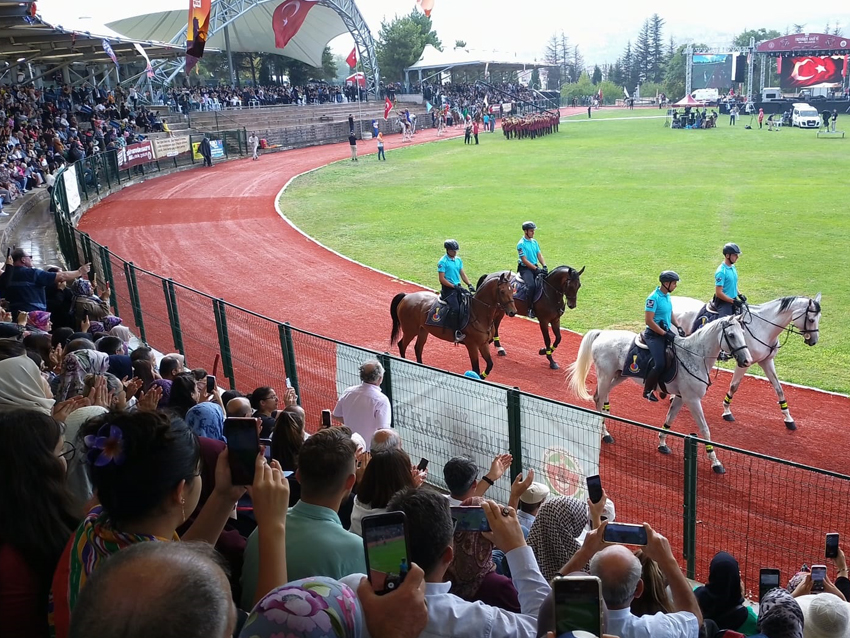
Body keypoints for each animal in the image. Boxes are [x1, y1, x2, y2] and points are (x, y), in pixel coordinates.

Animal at [568, 316, 752, 476]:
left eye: (743, 333)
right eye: (731, 335)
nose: (747, 361)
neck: (694, 356)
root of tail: (602, 333)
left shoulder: (680, 397)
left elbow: (669, 419)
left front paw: (662, 443)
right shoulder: (692, 400)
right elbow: (705, 430)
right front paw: (716, 462)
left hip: (619, 375)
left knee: (602, 396)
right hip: (605, 375)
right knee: (598, 399)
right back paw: (605, 433)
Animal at [672, 298, 820, 432]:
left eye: (819, 318)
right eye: (811, 320)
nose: (814, 341)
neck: (763, 326)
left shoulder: (767, 361)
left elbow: (779, 389)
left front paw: (788, 418)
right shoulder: (744, 362)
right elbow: (734, 386)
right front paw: (727, 410)